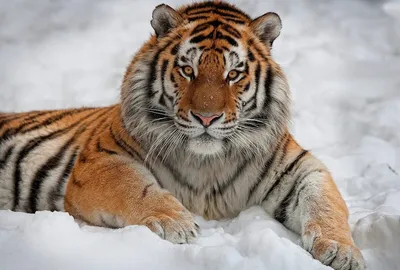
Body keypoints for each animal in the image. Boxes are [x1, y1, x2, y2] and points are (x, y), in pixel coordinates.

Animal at [0, 2, 366, 270]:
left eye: (233, 74)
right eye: (188, 70)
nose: (206, 117)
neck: (207, 163)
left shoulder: (301, 169)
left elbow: (326, 204)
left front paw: (342, 251)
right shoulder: (100, 161)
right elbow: (136, 187)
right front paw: (177, 223)